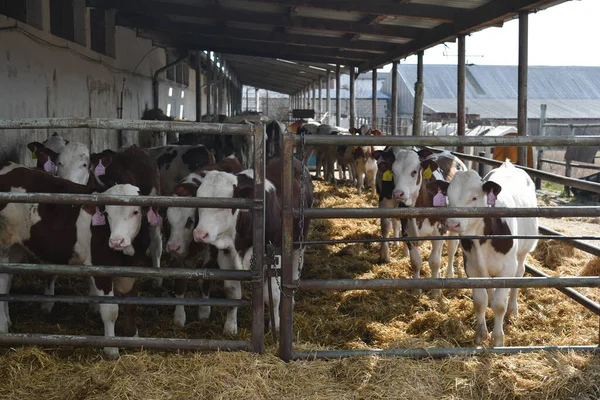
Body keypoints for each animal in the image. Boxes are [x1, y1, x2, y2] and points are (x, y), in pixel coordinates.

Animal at [0, 162, 155, 360]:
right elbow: (110, 310)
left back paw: (8, 321)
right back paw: (3, 329)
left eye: (136, 211)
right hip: (2, 244)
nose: (116, 241)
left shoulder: (132, 271)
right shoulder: (101, 270)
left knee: (7, 280)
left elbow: (131, 304)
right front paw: (111, 349)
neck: (127, 254)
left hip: (16, 247)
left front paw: (133, 336)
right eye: (106, 213)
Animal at [165, 156, 243, 328]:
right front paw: (179, 316)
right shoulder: (178, 256)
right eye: (168, 221)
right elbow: (180, 282)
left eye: (190, 220)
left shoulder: (212, 250)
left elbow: (205, 280)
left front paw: (204, 310)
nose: (172, 247)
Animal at [193, 156, 316, 334]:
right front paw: (230, 327)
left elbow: (273, 295)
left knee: (294, 270)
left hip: (299, 241)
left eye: (225, 204)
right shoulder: (227, 253)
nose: (199, 234)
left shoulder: (275, 253)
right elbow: (232, 292)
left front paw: (275, 325)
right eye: (199, 201)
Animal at [372, 148, 466, 298]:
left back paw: (449, 273)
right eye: (393, 171)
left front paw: (436, 293)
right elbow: (416, 261)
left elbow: (434, 261)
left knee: (452, 247)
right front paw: (416, 290)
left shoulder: (439, 231)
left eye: (414, 172)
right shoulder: (408, 231)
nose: (398, 193)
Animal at [426, 161, 540, 346]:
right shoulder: (472, 267)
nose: (452, 224)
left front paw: (498, 339)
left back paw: (513, 309)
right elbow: (480, 301)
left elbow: (499, 304)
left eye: (474, 198)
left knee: (519, 274)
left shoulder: (507, 269)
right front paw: (480, 336)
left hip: (523, 251)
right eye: (448, 196)